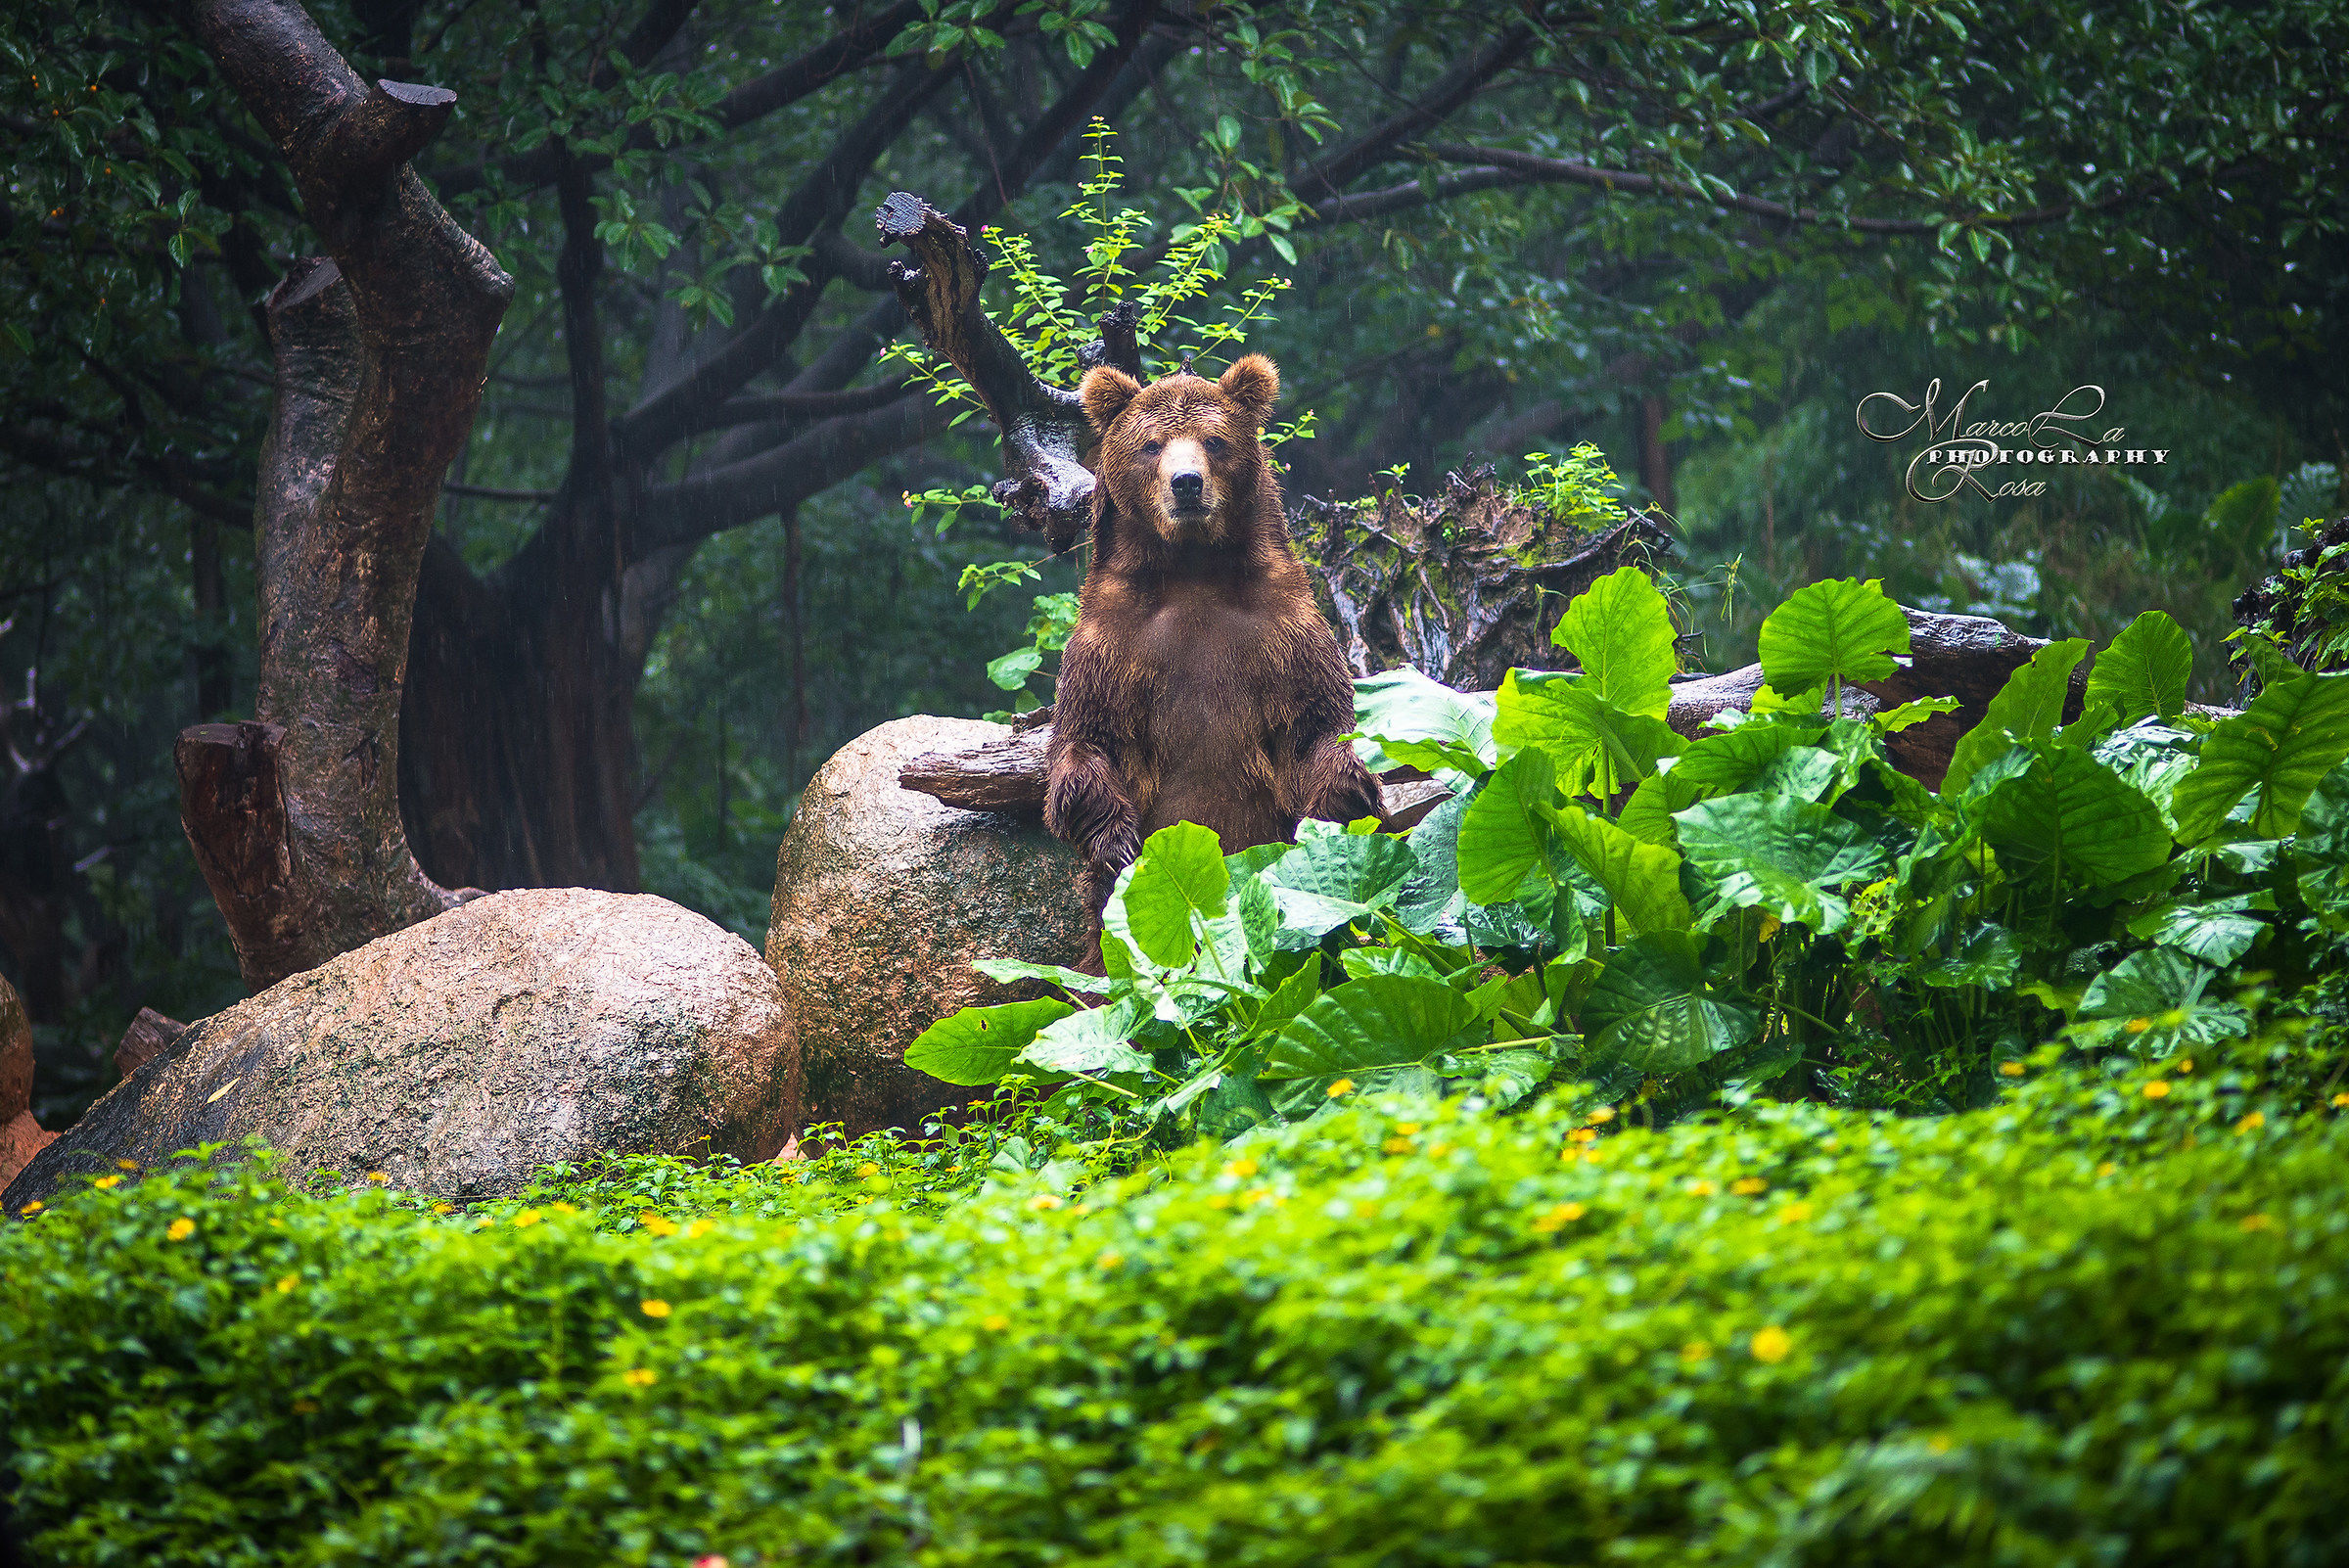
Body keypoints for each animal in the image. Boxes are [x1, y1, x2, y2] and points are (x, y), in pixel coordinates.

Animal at [1044, 352, 1382, 907]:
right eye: (1151, 444)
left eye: (1214, 440)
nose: (1186, 482)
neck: (1192, 566)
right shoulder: (1112, 640)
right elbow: (1090, 738)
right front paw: (1116, 843)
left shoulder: (1284, 630)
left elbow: (1316, 724)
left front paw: (1339, 805)